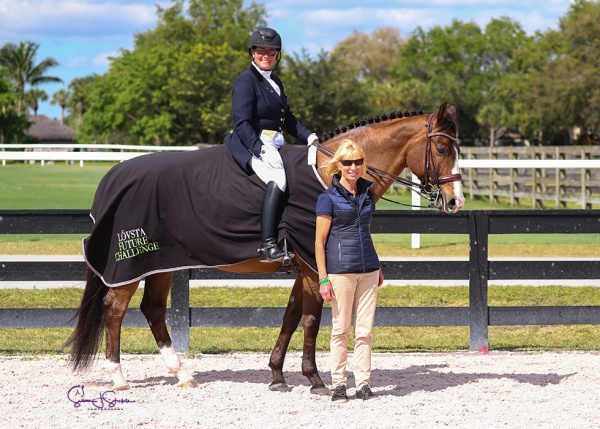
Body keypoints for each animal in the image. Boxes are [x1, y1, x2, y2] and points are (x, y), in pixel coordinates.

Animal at [68, 101, 466, 394]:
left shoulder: (304, 268)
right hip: (131, 263)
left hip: (161, 263)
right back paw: (120, 379)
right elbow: (310, 321)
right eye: (442, 147)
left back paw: (182, 375)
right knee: (115, 310)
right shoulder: (313, 268)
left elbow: (290, 317)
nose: (455, 201)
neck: (331, 174)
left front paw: (277, 375)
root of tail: (114, 176)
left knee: (152, 310)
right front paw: (314, 379)